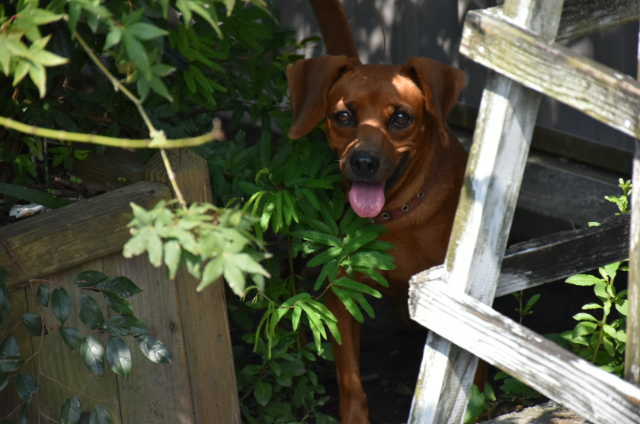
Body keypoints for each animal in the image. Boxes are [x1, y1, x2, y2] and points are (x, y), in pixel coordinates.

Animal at [288, 1, 468, 422]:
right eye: (343, 116)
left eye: (400, 118)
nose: (364, 161)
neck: (395, 220)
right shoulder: (344, 295)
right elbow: (350, 379)